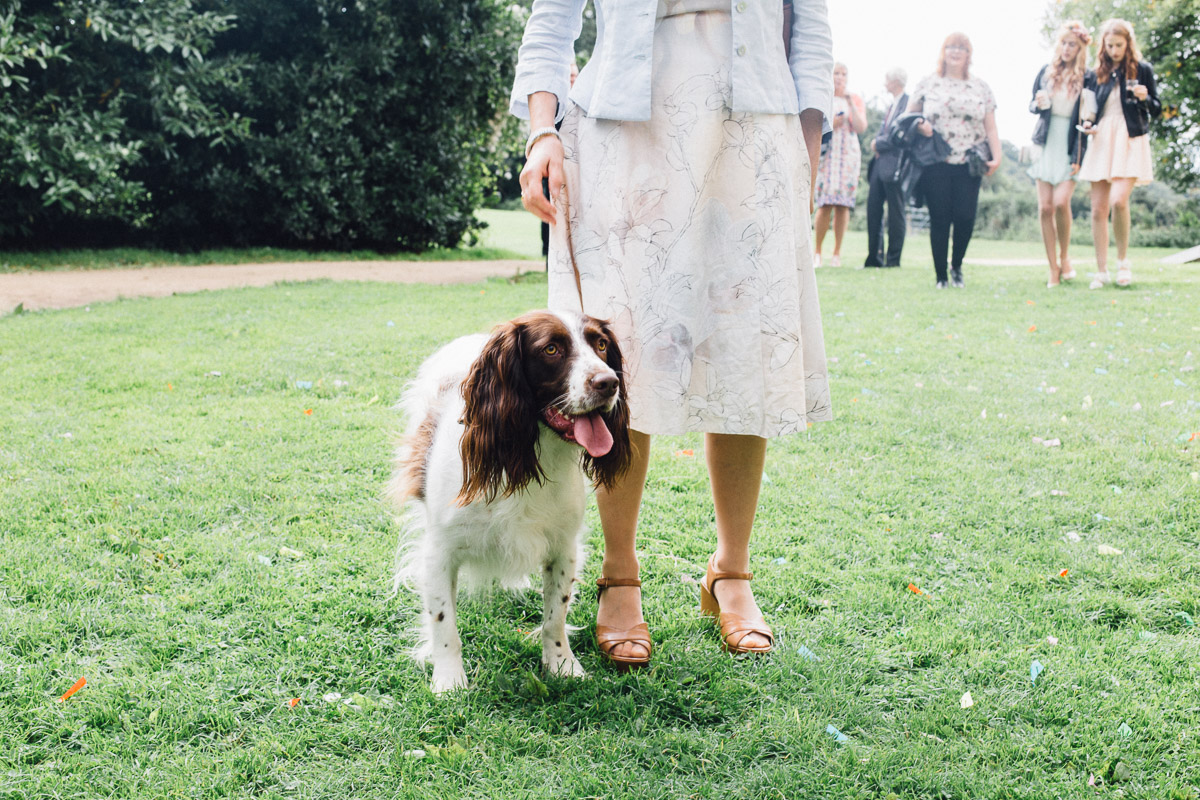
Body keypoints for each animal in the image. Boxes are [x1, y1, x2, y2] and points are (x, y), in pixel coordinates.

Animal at [388, 309, 633, 690]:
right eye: (551, 349)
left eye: (602, 344)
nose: (609, 383)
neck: (525, 455)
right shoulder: (439, 551)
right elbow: (444, 622)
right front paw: (449, 680)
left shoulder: (564, 546)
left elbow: (555, 616)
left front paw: (561, 664)